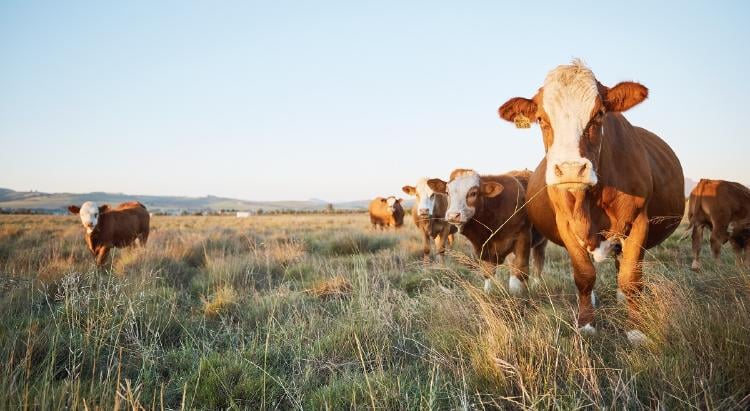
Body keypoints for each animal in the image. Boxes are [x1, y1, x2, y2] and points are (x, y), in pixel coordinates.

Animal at [500, 60, 688, 344]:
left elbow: (631, 278)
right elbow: (584, 276)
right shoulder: (566, 226)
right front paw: (586, 323)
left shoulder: (639, 222)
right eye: (541, 119)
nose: (570, 169)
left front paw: (636, 329)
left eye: (599, 114)